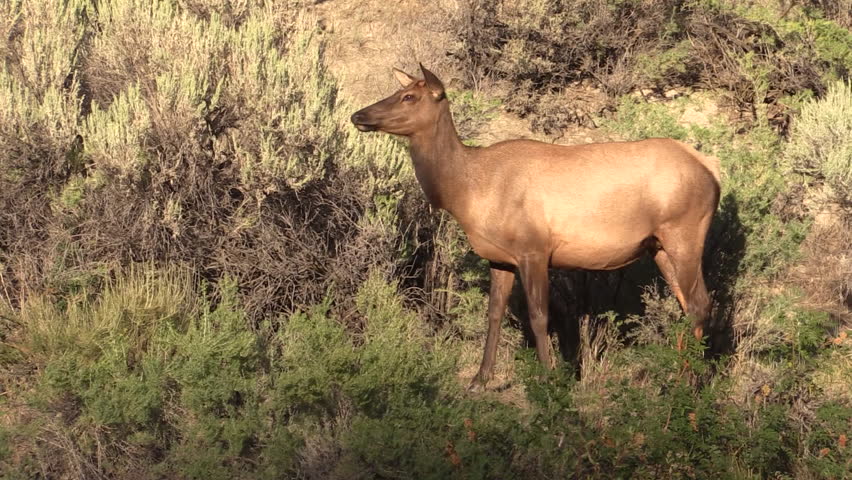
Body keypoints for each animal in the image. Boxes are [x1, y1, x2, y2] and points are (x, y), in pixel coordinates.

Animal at [351, 65, 721, 390]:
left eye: (409, 96)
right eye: (397, 91)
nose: (358, 116)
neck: (467, 191)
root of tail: (713, 170)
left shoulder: (535, 249)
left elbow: (540, 317)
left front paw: (550, 379)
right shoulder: (499, 257)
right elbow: (494, 313)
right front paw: (479, 380)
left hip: (685, 232)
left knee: (700, 303)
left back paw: (689, 383)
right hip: (658, 245)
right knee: (687, 305)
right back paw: (679, 376)